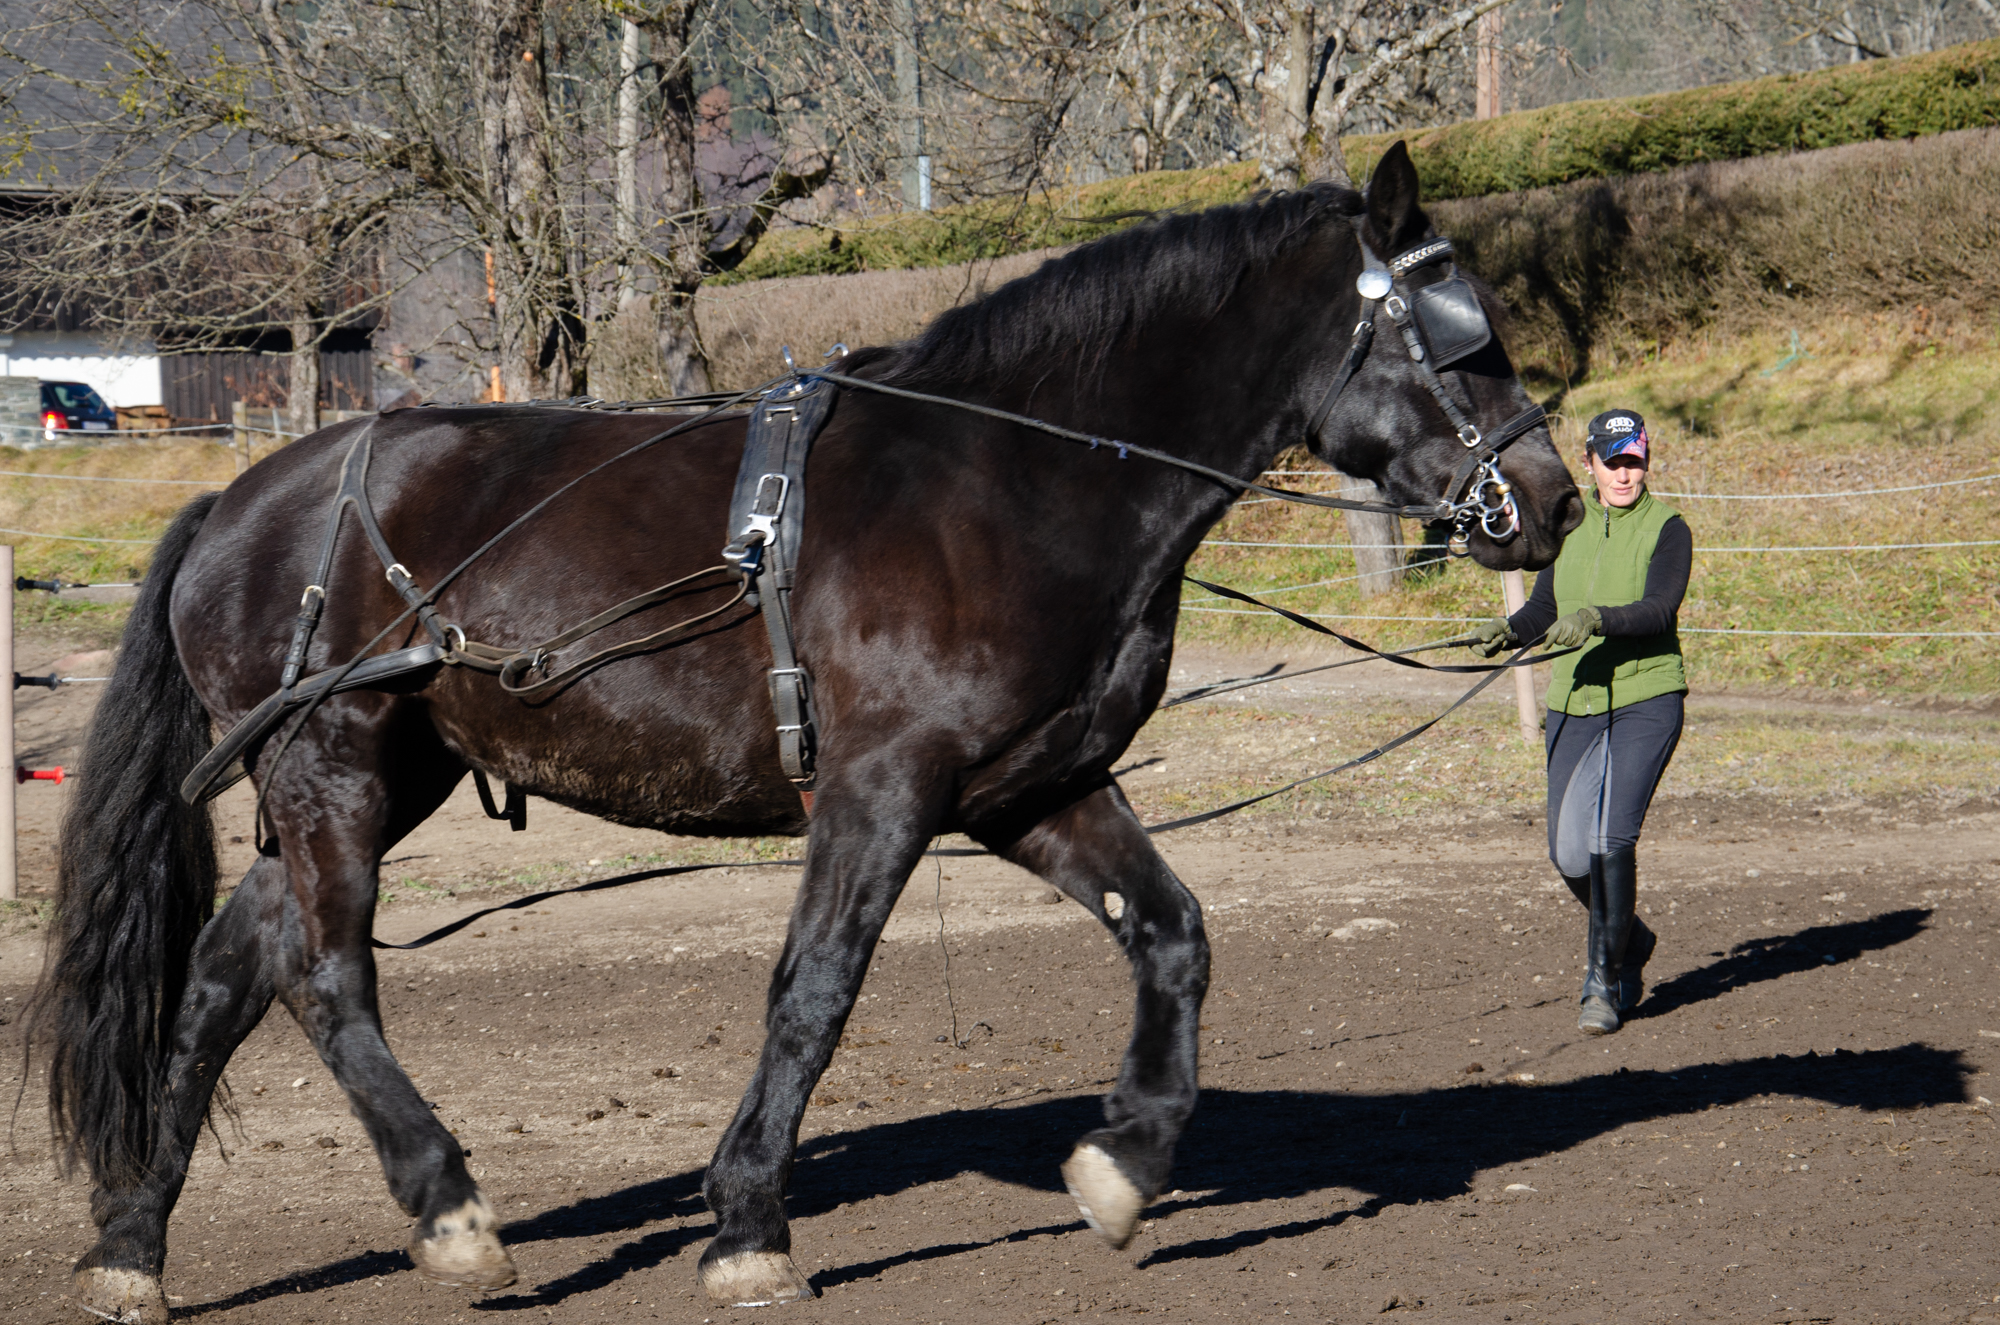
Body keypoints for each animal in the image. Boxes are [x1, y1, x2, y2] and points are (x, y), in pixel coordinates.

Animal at [23, 140, 1568, 1320]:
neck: (1013, 479)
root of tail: (244, 498)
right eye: (1462, 340)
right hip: (329, 767)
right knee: (328, 978)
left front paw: (1124, 1163)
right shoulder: (881, 789)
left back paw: (132, 1241)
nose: (1549, 501)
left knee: (229, 970)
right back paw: (448, 1208)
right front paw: (749, 1222)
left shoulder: (1033, 786)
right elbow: (814, 990)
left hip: (379, 775)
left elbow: (1172, 934)